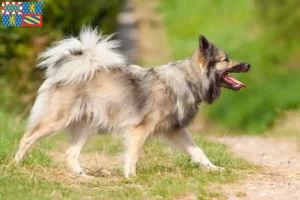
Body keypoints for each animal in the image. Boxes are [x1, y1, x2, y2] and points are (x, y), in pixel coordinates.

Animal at [14, 26, 250, 177]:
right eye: (226, 60)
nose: (248, 65)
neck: (188, 80)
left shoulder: (176, 130)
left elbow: (198, 151)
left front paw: (213, 168)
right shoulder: (140, 129)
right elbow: (134, 154)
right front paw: (131, 176)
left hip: (86, 127)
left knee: (70, 153)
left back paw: (83, 176)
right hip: (56, 120)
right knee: (27, 138)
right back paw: (14, 164)